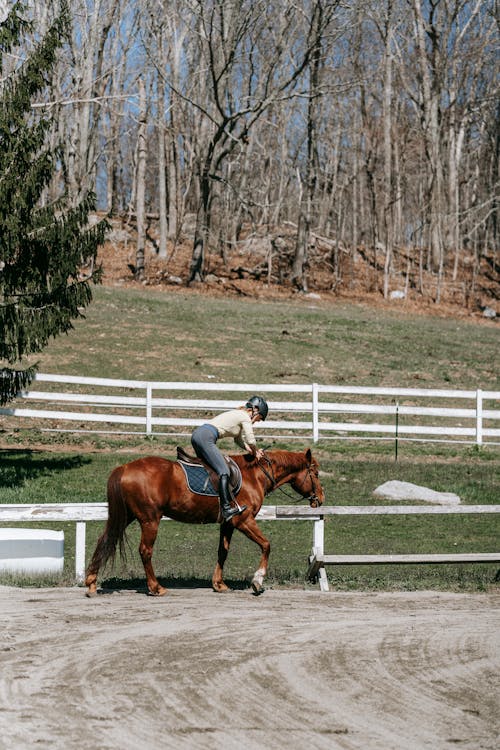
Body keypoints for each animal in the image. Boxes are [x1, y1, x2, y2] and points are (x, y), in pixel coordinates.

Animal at [85, 446, 324, 600]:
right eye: (315, 473)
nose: (321, 499)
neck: (254, 475)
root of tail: (124, 467)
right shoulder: (243, 520)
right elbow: (266, 545)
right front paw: (257, 581)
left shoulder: (228, 523)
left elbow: (222, 552)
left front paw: (219, 584)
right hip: (150, 520)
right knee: (145, 550)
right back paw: (156, 588)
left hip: (127, 516)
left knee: (105, 540)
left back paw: (91, 582)